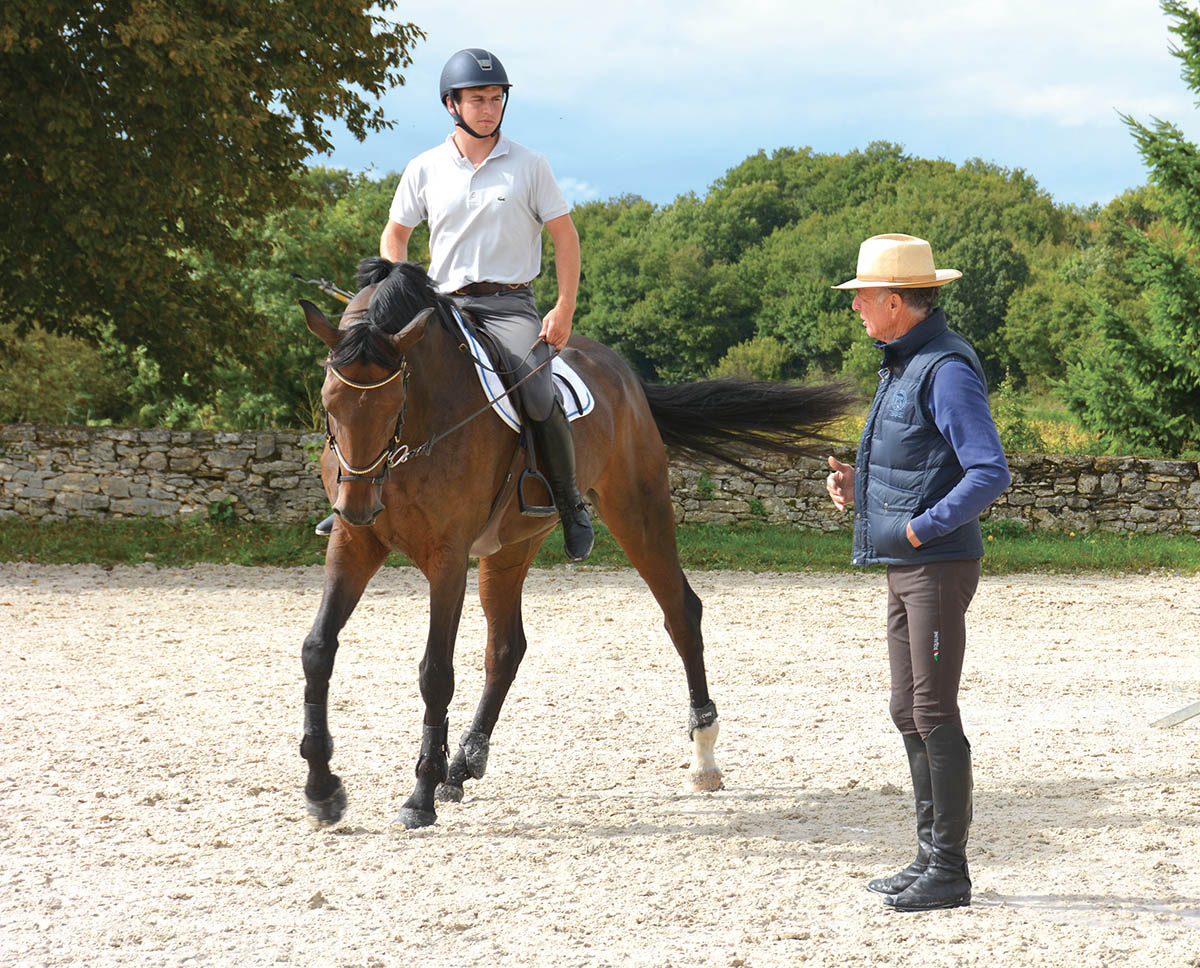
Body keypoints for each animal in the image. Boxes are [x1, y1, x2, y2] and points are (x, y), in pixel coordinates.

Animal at [295, 259, 849, 834]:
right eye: (329, 401)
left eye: (395, 402)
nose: (359, 503)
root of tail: (624, 373)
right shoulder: (355, 543)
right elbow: (317, 650)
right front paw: (322, 788)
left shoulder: (446, 556)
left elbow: (435, 673)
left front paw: (419, 795)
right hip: (509, 546)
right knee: (506, 647)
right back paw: (464, 765)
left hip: (637, 513)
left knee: (681, 612)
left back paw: (703, 757)